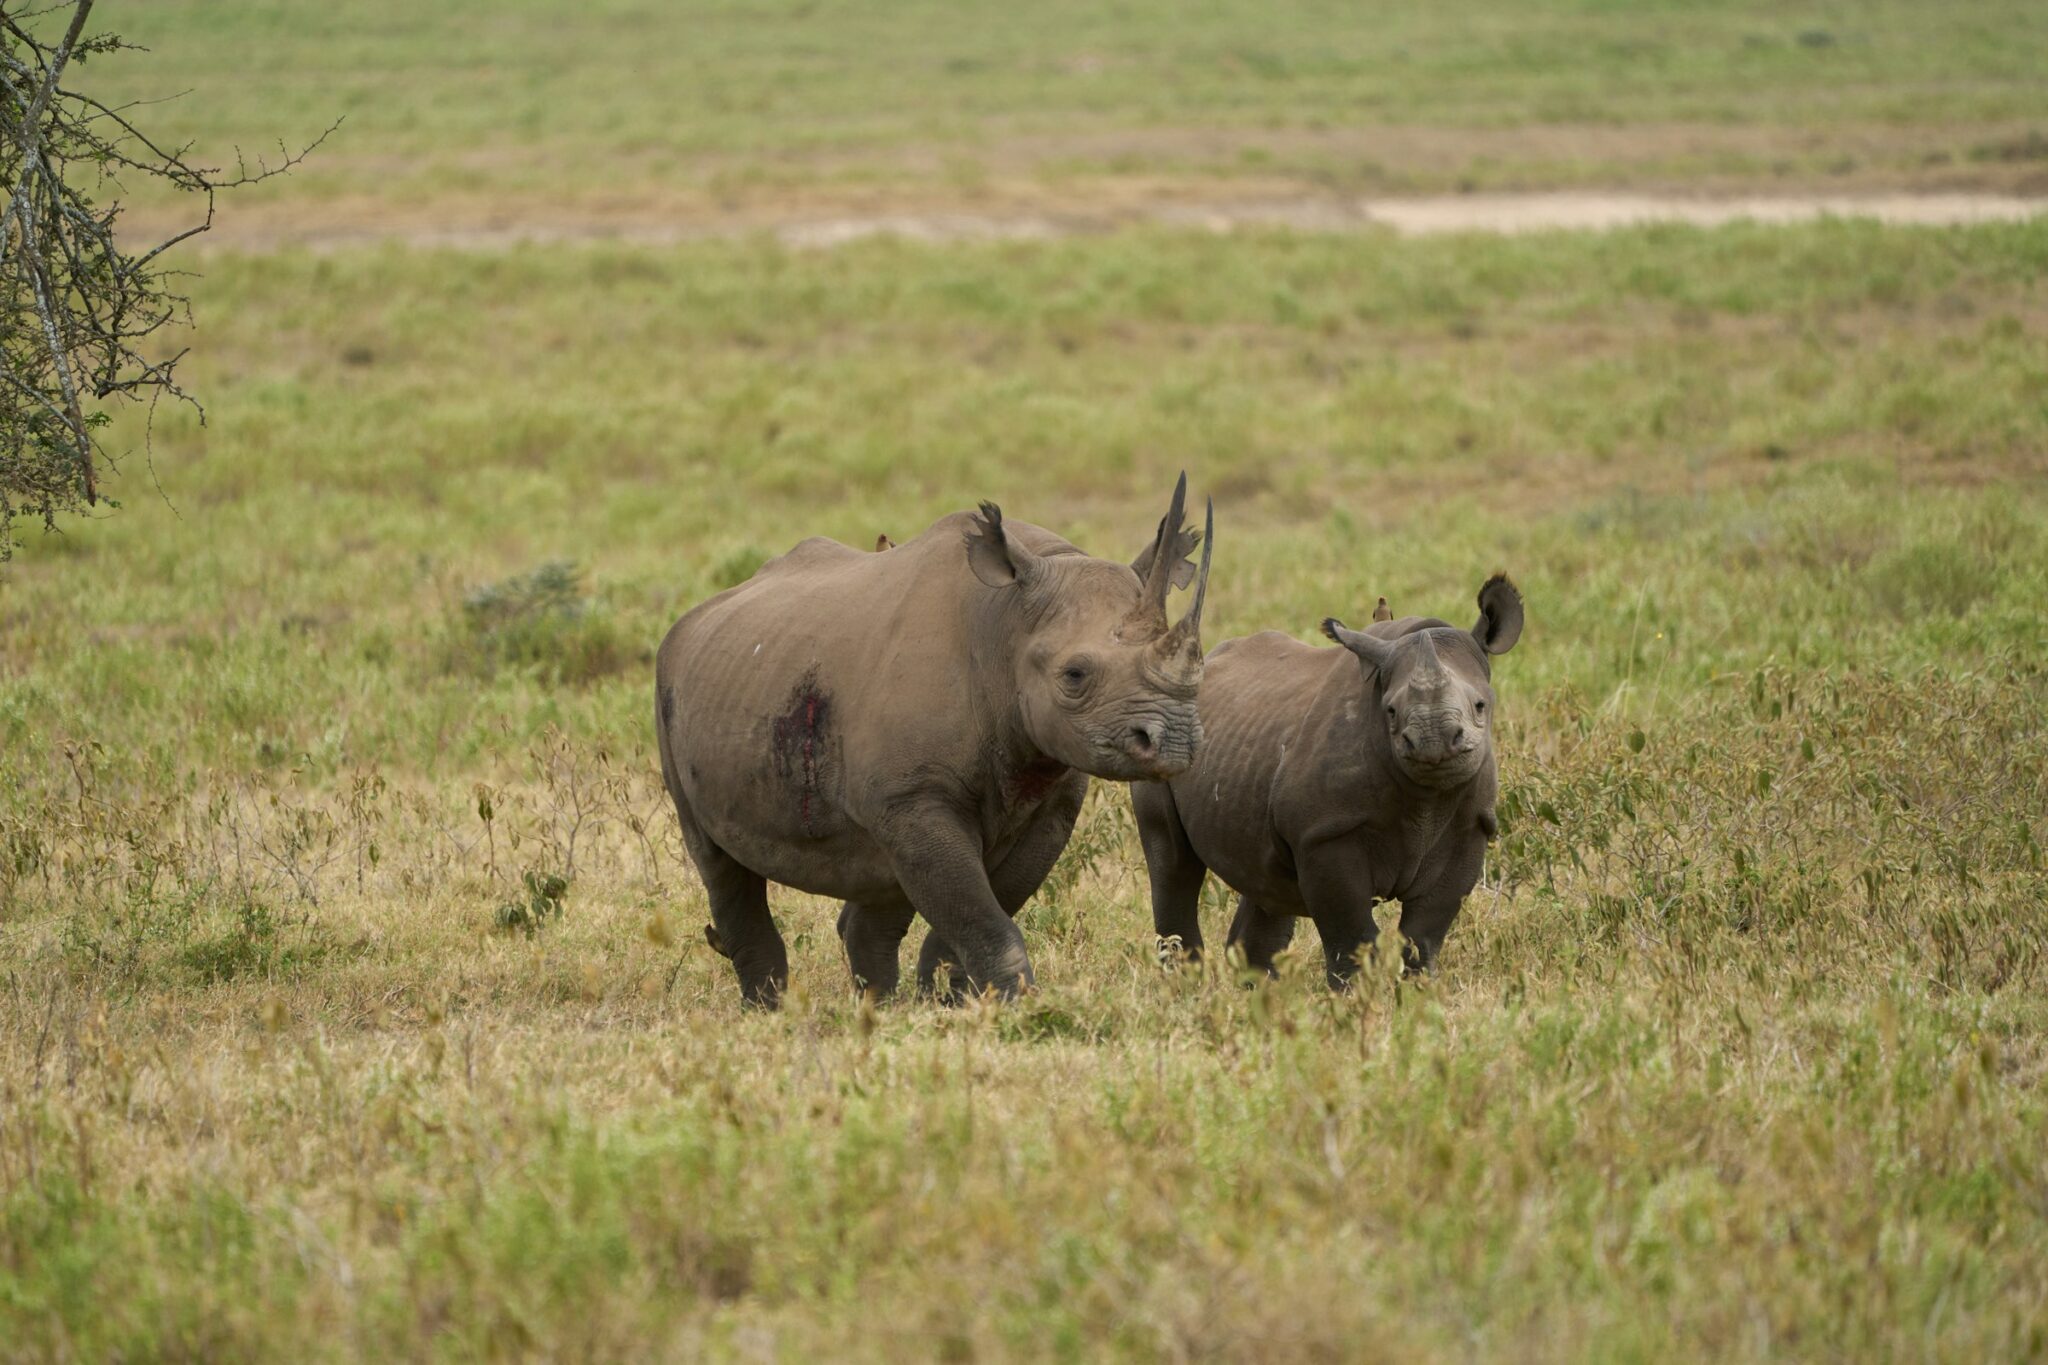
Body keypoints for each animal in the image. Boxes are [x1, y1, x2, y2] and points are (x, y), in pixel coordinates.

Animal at [656, 477, 1214, 1007]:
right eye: (1074, 675)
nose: (1175, 741)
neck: (1007, 626)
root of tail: (695, 615)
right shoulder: (913, 796)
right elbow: (978, 916)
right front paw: (1015, 1008)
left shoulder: (1047, 803)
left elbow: (976, 912)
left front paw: (951, 1005)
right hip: (675, 686)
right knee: (719, 861)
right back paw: (770, 1012)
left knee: (877, 873)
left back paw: (876, 1008)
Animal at [1131, 574, 1523, 984]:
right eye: (1390, 711)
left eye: (1480, 705)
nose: (1433, 741)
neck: (1426, 799)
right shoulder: (1325, 834)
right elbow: (1352, 939)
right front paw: (1356, 998)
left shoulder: (1471, 828)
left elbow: (1423, 936)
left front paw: (1415, 992)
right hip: (1159, 735)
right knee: (1173, 863)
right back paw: (1185, 987)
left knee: (1265, 881)